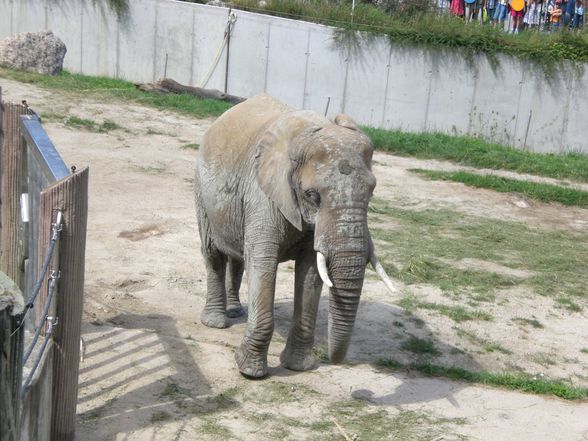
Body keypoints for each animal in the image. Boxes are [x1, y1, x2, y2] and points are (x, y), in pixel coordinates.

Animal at [194, 94, 396, 376]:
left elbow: (310, 272)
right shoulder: (262, 192)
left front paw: (299, 367)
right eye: (312, 195)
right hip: (202, 192)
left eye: (372, 192)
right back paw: (215, 322)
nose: (334, 360)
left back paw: (235, 313)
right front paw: (250, 372)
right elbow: (263, 263)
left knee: (238, 258)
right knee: (213, 254)